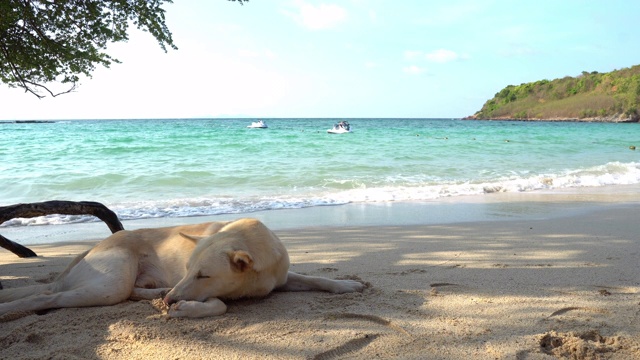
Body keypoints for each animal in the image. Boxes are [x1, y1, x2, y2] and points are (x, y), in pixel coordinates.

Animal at [0, 218, 362, 316]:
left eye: (203, 274)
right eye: (188, 269)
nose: (171, 300)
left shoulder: (281, 277)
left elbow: (315, 278)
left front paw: (347, 285)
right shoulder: (208, 292)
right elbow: (218, 305)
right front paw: (185, 309)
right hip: (110, 283)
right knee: (45, 296)